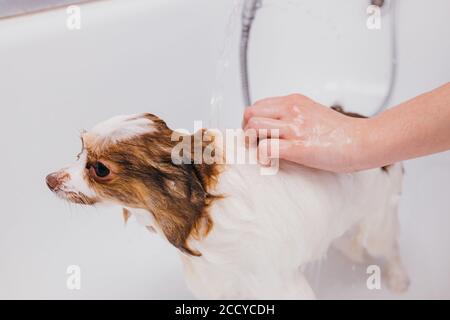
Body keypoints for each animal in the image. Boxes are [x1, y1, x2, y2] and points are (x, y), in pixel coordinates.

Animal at [46, 111, 412, 298]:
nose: (49, 179)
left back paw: (398, 279)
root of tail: (359, 117)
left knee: (389, 247)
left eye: (99, 170)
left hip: (374, 226)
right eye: (79, 151)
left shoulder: (273, 283)